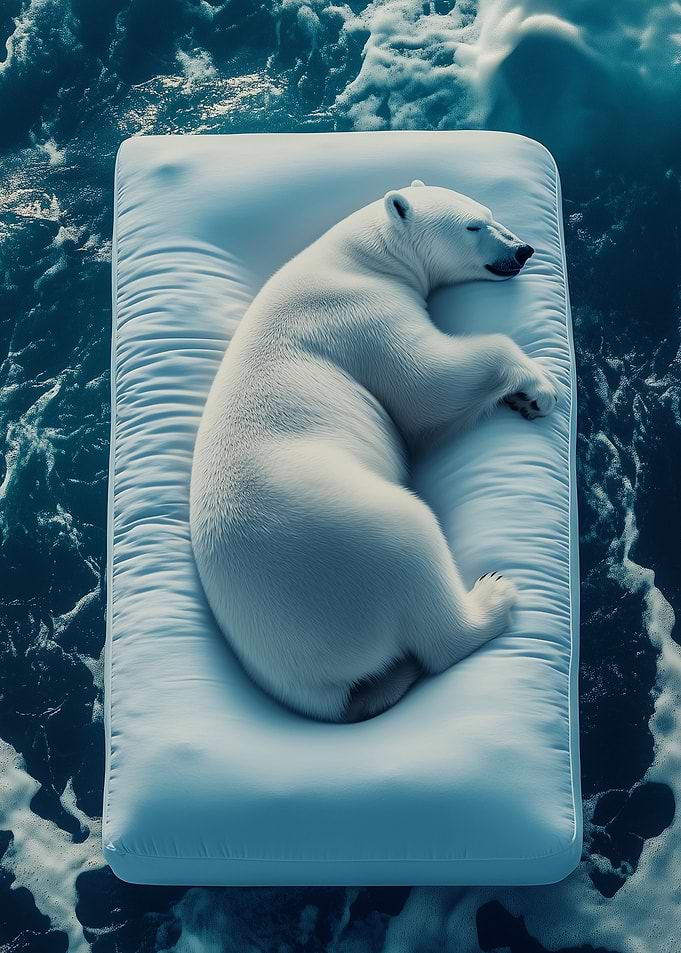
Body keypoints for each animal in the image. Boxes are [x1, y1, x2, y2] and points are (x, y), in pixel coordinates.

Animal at [189, 181, 559, 724]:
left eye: (490, 213)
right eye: (473, 225)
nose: (523, 249)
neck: (361, 257)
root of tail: (314, 686)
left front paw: (523, 399)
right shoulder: (360, 315)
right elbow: (428, 386)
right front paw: (539, 387)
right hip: (343, 542)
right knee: (414, 555)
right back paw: (492, 595)